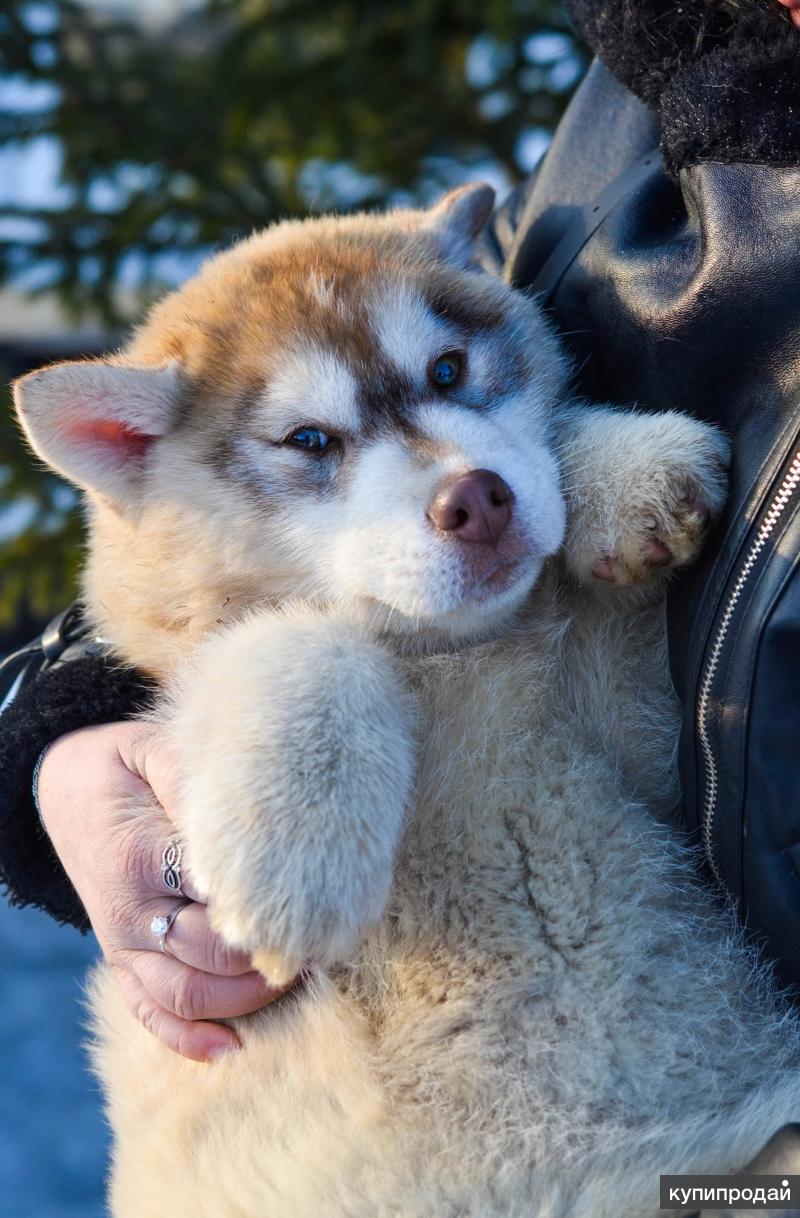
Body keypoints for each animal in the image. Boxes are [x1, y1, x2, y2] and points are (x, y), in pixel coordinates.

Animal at [12, 182, 798, 1218]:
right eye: (310, 441)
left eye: (450, 369)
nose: (478, 500)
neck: (455, 660)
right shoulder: (207, 664)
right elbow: (295, 636)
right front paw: (293, 852)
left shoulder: (642, 726)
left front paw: (622, 466)